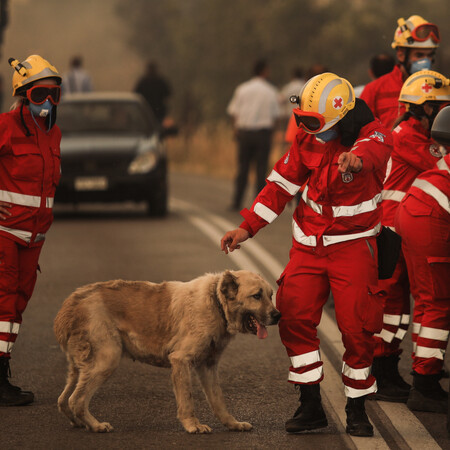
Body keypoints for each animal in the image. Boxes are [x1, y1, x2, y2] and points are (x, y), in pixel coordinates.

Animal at [51, 270, 278, 432]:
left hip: (81, 367)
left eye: (271, 295)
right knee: (77, 400)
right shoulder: (181, 360)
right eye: (256, 296)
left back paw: (81, 423)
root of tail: (72, 302)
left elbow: (218, 400)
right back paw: (96, 425)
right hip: (107, 359)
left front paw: (232, 424)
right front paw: (192, 425)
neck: (215, 302)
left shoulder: (208, 366)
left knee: (63, 400)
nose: (278, 316)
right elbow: (187, 399)